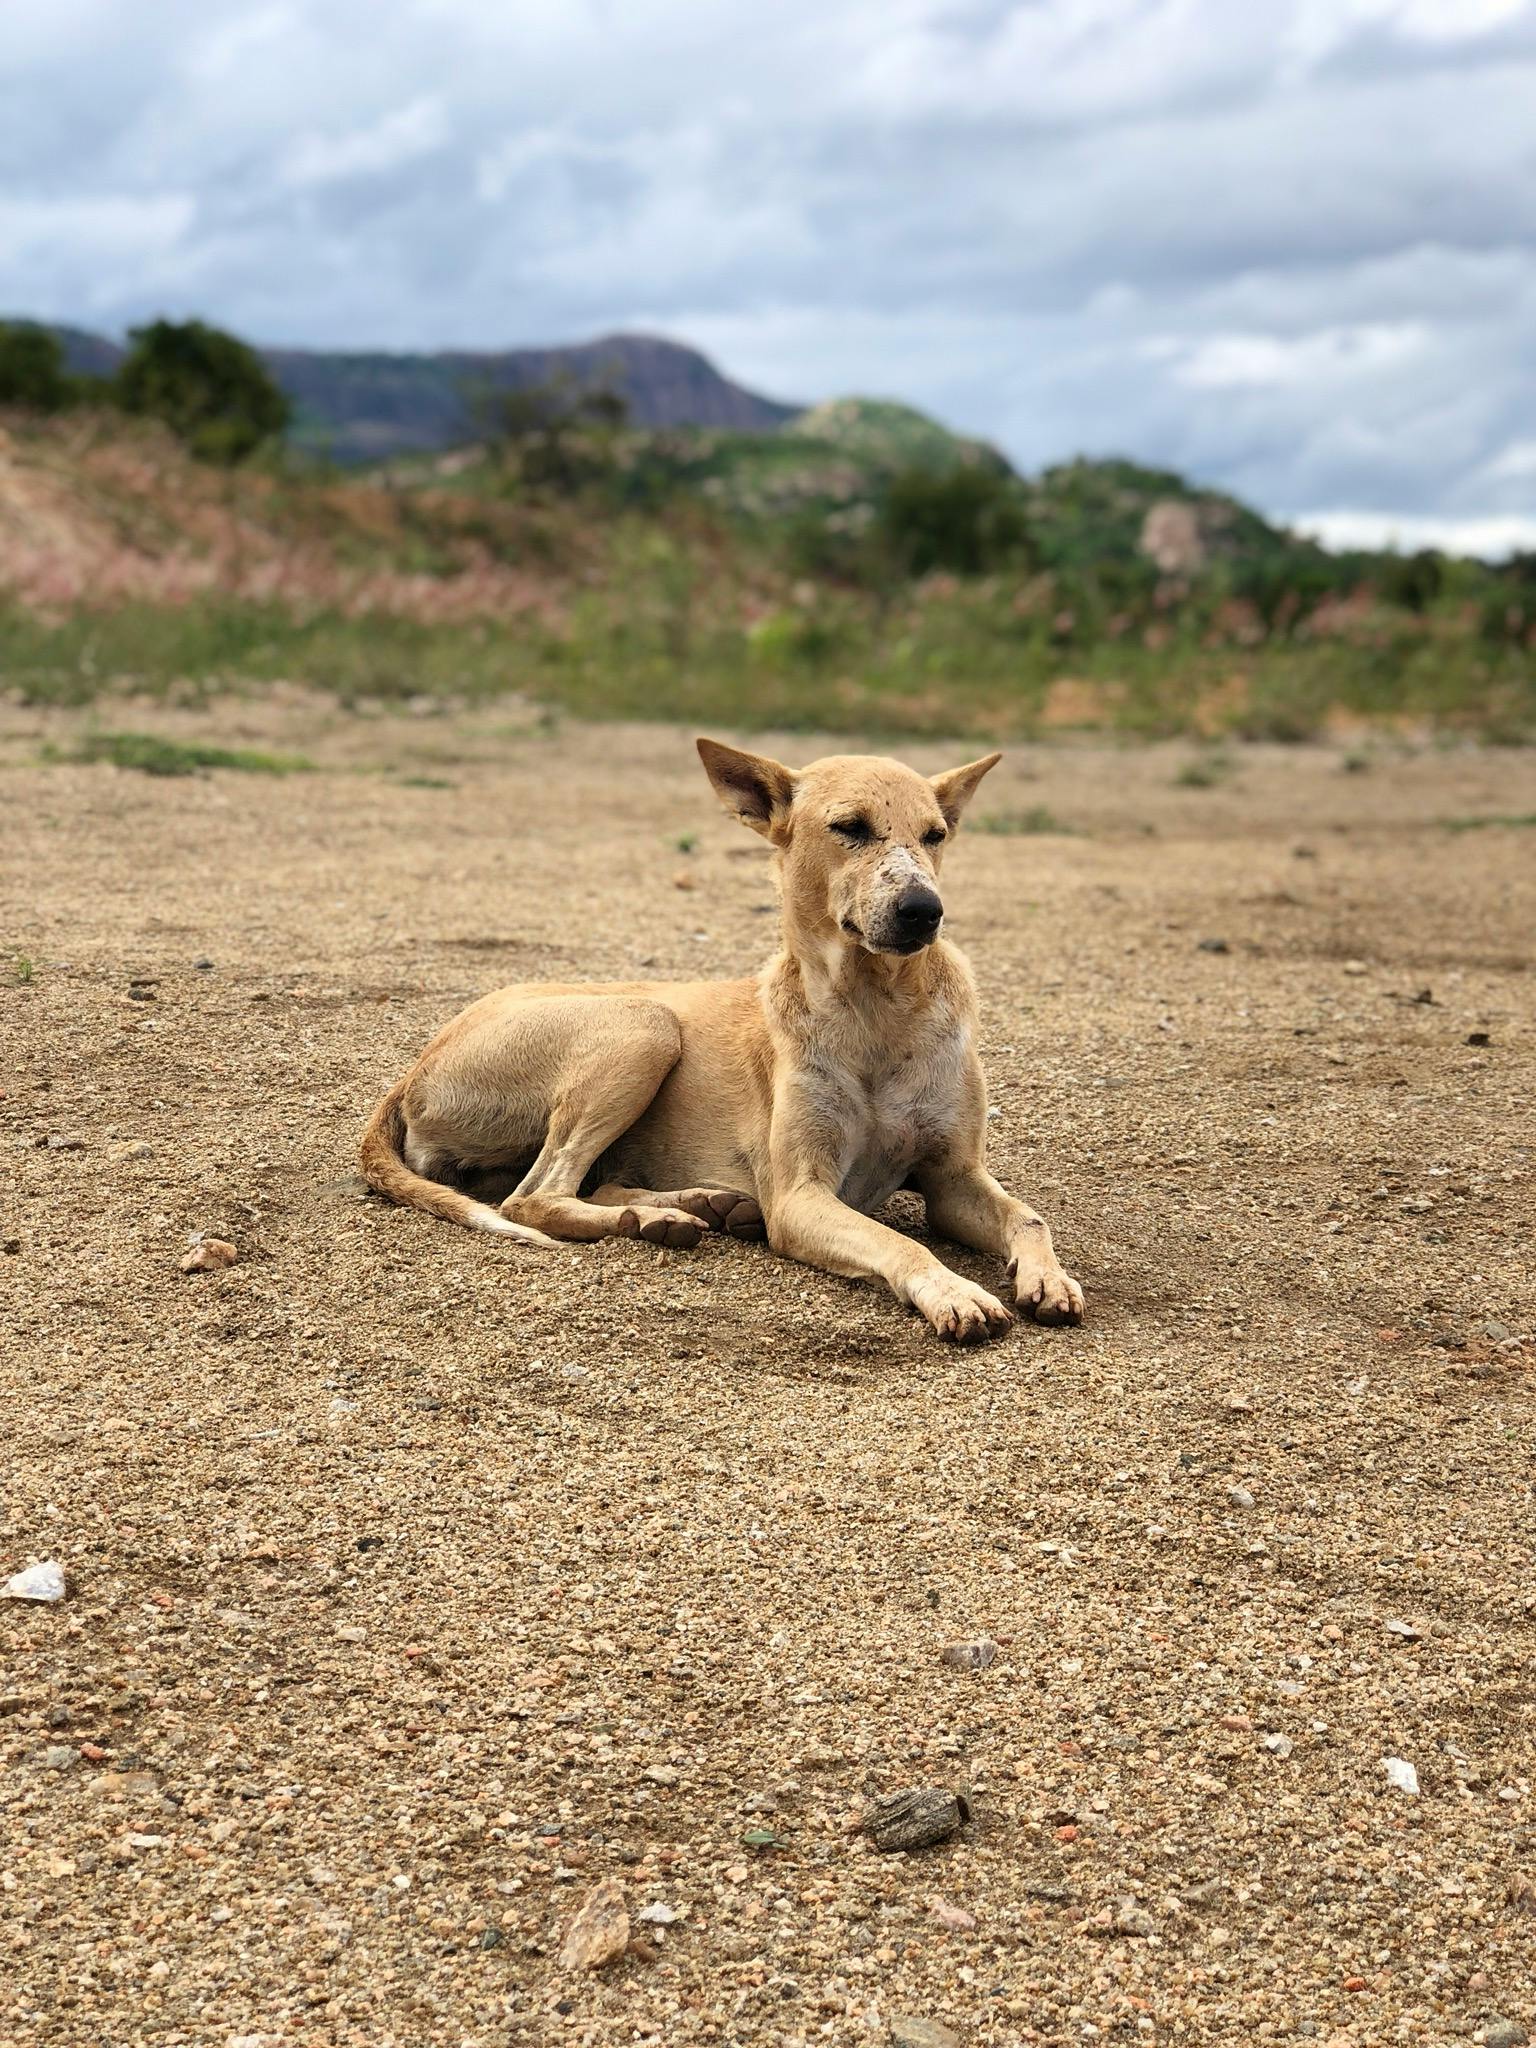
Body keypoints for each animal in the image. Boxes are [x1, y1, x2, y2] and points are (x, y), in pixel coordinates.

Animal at [360, 741, 1081, 1343]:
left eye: (935, 835)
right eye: (850, 827)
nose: (925, 911)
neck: (880, 1011)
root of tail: (413, 1070)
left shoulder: (953, 1181)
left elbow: (1029, 1217)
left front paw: (1048, 1278)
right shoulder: (799, 1198)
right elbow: (902, 1243)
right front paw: (954, 1292)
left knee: (585, 1186)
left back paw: (682, 1209)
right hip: (644, 1024)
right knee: (535, 1196)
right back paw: (664, 1218)